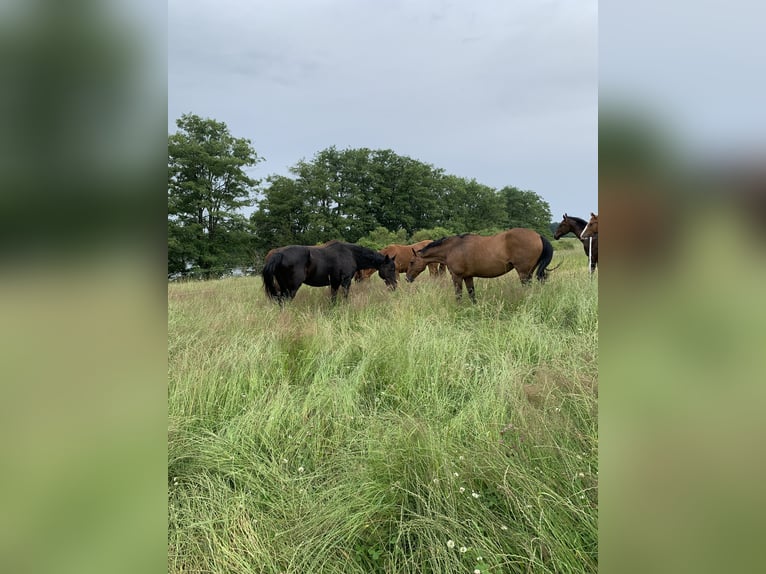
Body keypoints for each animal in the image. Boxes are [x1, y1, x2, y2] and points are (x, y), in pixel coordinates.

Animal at [264, 241, 400, 306]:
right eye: (391, 269)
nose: (394, 286)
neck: (350, 254)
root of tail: (279, 254)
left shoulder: (334, 283)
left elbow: (333, 298)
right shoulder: (346, 281)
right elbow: (345, 296)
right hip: (291, 288)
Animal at [404, 227, 556, 304]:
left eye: (411, 262)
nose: (407, 278)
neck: (452, 248)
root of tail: (538, 236)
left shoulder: (457, 277)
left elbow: (458, 295)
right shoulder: (468, 277)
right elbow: (472, 295)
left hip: (524, 273)